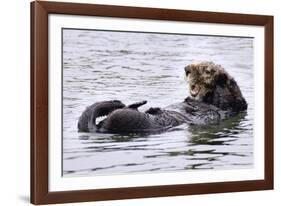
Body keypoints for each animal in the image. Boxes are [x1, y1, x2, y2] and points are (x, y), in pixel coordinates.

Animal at [76, 60, 245, 134]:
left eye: (205, 70)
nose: (187, 69)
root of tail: (100, 128)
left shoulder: (229, 107)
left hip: (129, 120)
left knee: (120, 114)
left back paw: (136, 104)